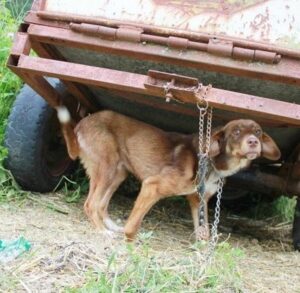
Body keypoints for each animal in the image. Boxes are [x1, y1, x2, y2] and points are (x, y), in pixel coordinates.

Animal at [56, 107, 282, 240]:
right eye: (236, 132)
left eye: (258, 132)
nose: (253, 142)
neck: (211, 163)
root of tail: (80, 124)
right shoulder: (152, 186)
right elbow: (134, 225)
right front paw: (130, 241)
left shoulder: (198, 200)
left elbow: (203, 230)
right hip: (107, 168)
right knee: (90, 204)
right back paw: (102, 231)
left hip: (118, 174)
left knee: (101, 204)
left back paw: (110, 227)